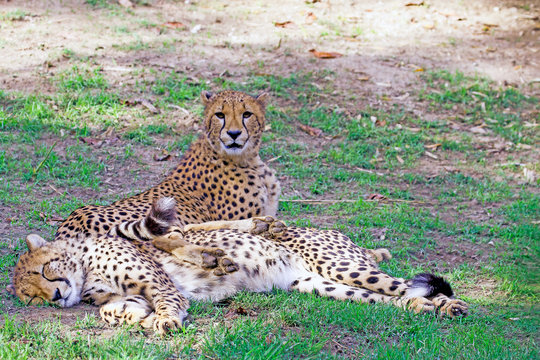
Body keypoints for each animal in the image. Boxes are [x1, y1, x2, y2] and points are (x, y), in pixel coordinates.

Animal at [8, 197, 466, 334]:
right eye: (32, 299)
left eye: (45, 272)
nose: (56, 296)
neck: (85, 269)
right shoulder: (126, 294)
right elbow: (114, 309)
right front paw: (130, 317)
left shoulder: (161, 285)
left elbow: (167, 302)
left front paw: (165, 322)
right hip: (321, 285)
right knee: (395, 298)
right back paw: (424, 307)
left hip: (343, 266)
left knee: (400, 284)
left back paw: (453, 307)